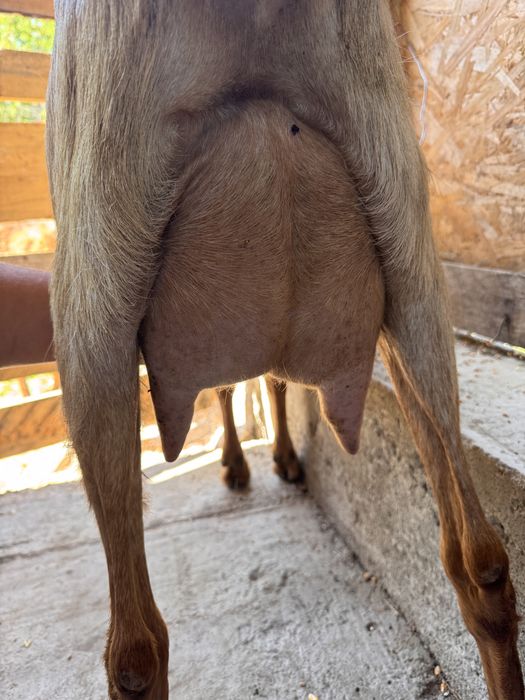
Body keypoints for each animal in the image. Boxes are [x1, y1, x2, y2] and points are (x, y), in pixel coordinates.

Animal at [46, 1, 523, 698]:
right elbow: (258, 378)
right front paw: (275, 458)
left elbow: (240, 384)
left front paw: (249, 462)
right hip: (410, 255)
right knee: (479, 561)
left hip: (90, 298)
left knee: (134, 649)